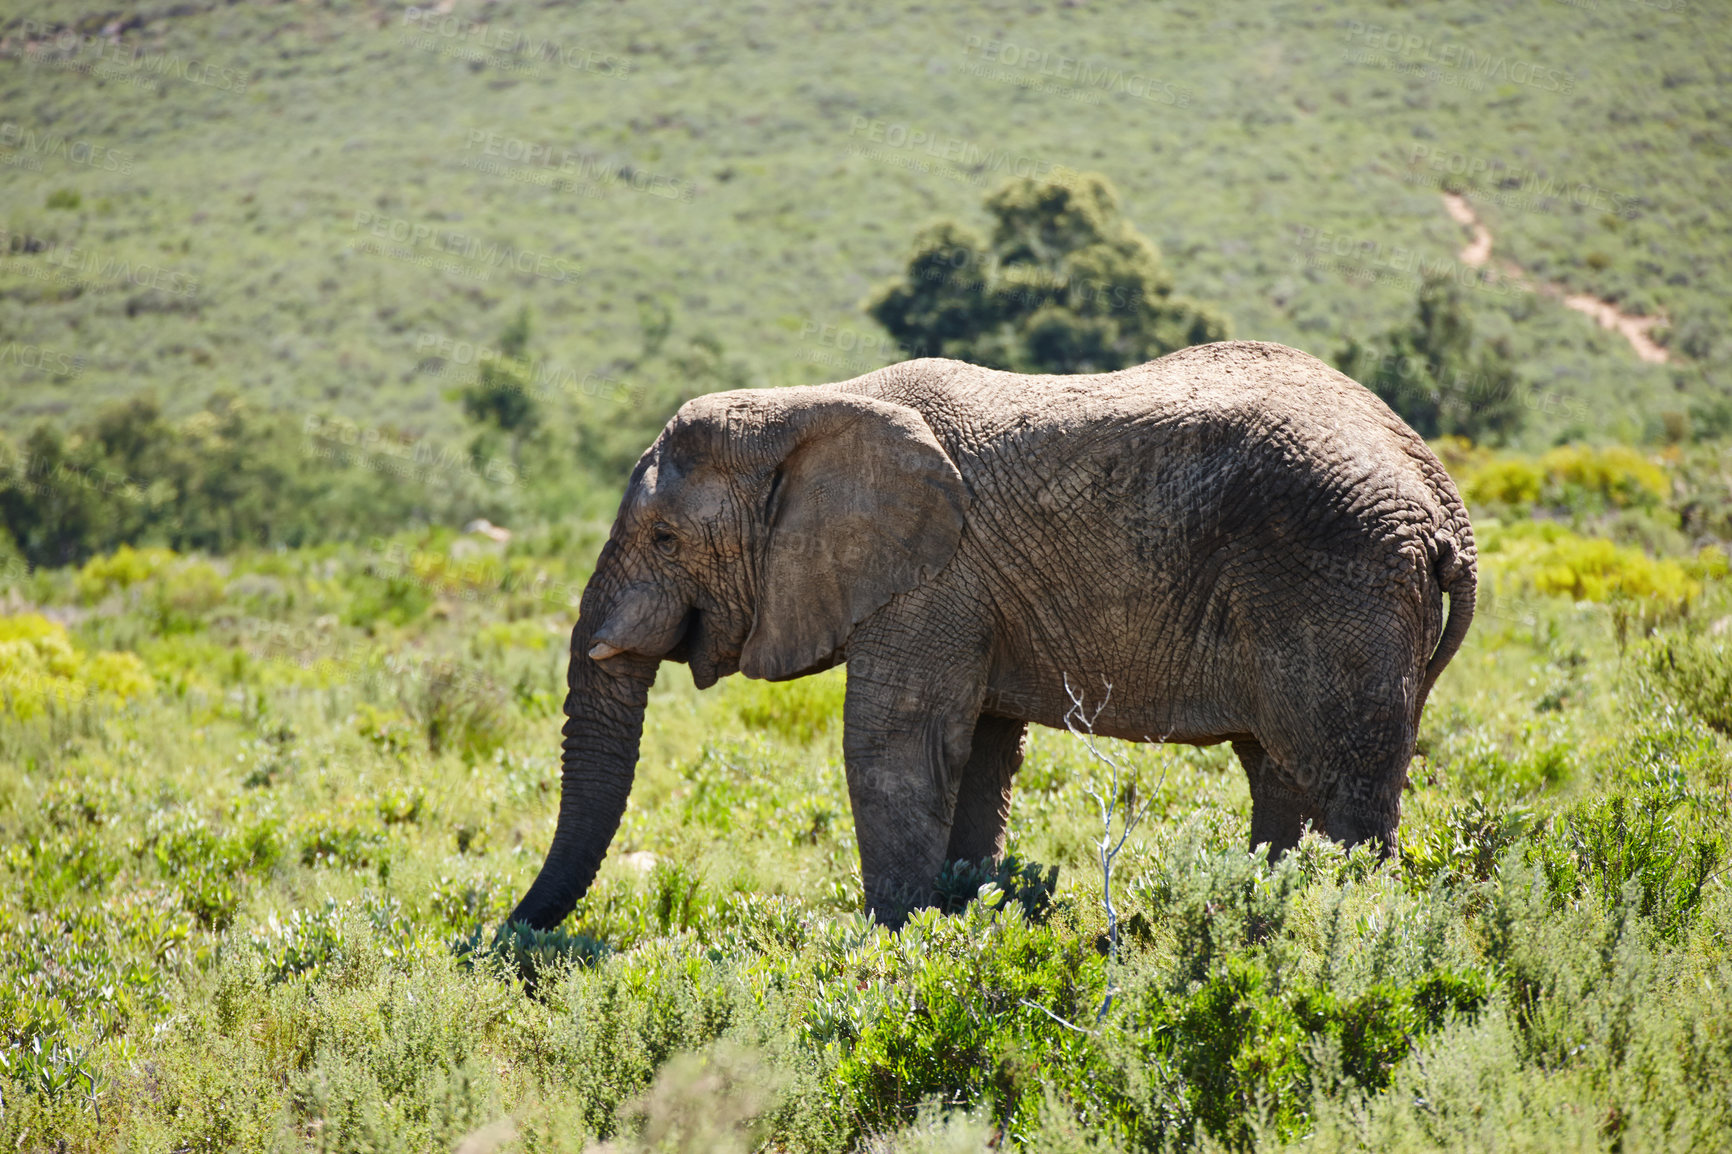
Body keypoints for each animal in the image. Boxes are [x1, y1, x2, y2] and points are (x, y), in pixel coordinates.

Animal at [505, 339, 1475, 928]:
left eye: (666, 540)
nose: (512, 941)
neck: (815, 404)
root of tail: (1443, 500)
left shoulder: (933, 581)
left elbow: (894, 744)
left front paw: (891, 945)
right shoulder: (969, 595)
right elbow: (975, 752)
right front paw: (958, 921)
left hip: (1338, 577)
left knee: (1341, 781)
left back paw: (1346, 928)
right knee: (1281, 770)